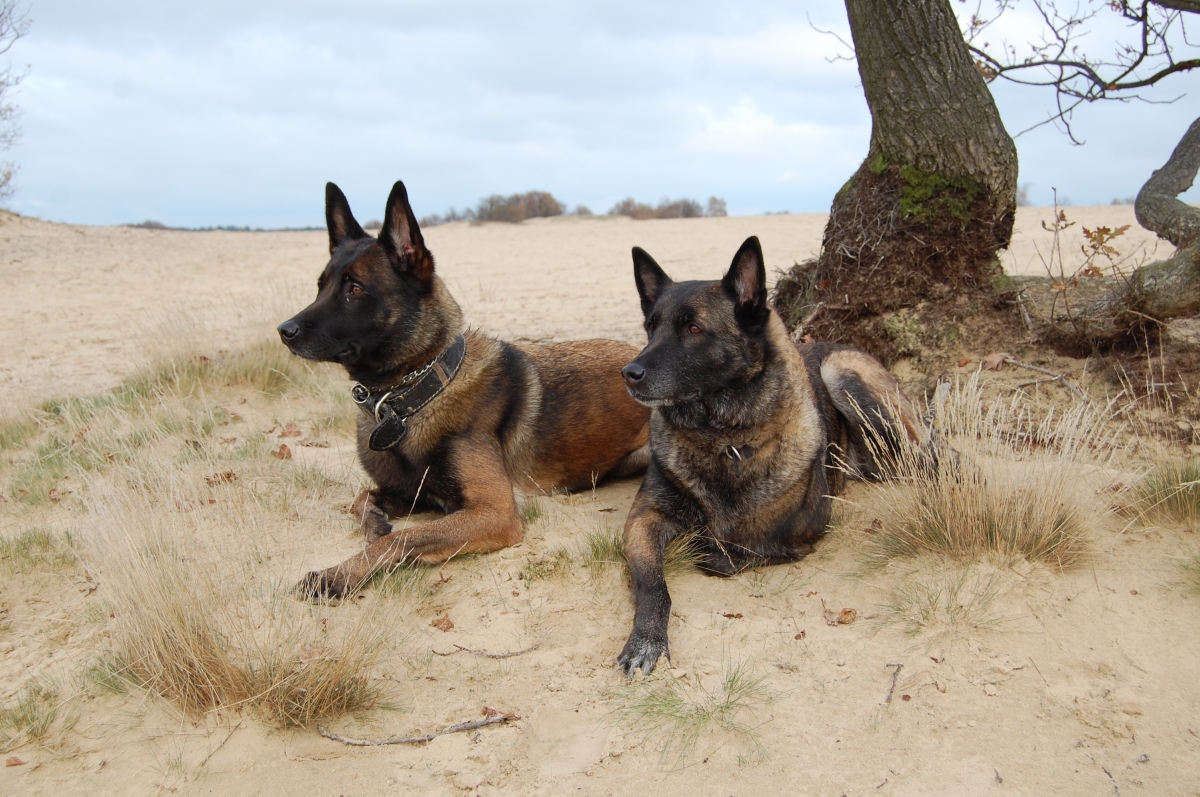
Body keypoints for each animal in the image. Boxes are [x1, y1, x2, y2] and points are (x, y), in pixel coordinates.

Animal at [279, 181, 651, 598]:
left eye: (355, 290)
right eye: (320, 287)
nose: (284, 330)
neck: (412, 396)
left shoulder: (494, 513)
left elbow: (400, 538)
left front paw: (338, 574)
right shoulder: (408, 492)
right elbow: (362, 500)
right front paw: (373, 523)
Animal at [616, 235, 931, 675]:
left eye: (694, 329)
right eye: (650, 328)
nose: (629, 373)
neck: (723, 439)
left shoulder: (804, 532)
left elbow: (739, 549)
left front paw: (710, 549)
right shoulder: (643, 519)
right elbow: (652, 584)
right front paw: (646, 639)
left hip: (845, 378)